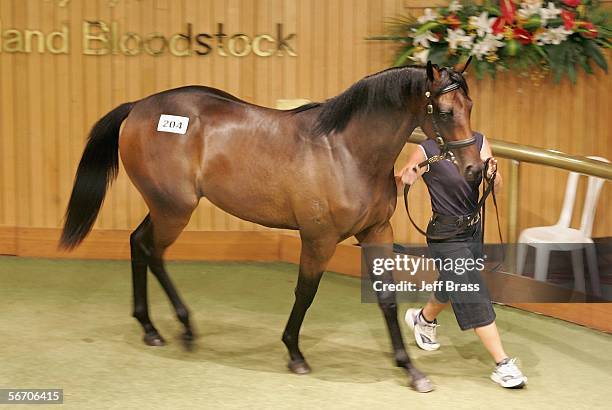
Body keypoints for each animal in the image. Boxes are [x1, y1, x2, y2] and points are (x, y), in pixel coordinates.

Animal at [59, 60, 480, 390]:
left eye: (470, 105)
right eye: (445, 112)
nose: (475, 169)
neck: (346, 151)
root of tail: (138, 108)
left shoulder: (377, 232)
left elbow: (387, 298)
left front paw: (411, 370)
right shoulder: (319, 238)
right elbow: (305, 293)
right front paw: (294, 352)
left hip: (164, 207)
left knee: (137, 243)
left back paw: (150, 326)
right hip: (173, 209)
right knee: (151, 250)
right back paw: (179, 327)